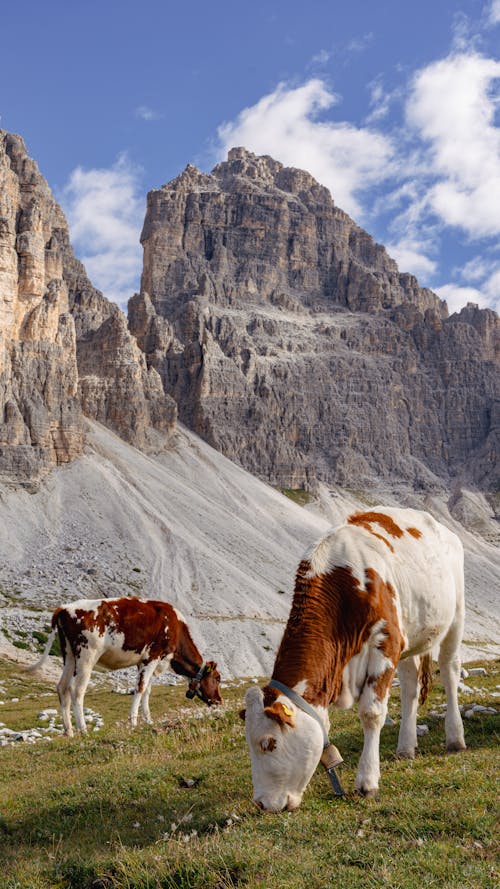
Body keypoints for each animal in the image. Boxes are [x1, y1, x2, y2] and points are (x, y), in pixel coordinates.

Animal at [27, 596, 222, 736]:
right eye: (218, 678)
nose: (219, 701)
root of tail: (64, 608)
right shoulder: (152, 656)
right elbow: (141, 688)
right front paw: (133, 721)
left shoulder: (145, 661)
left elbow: (147, 690)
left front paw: (148, 720)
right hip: (86, 655)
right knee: (76, 689)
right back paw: (83, 730)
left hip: (68, 655)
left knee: (62, 687)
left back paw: (69, 731)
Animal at [240, 506, 466, 812]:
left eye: (269, 743)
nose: (262, 804)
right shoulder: (395, 642)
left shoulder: (386, 642)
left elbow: (371, 713)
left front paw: (367, 781)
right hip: (411, 635)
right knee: (410, 687)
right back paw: (406, 747)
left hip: (455, 617)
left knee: (450, 671)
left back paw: (455, 739)